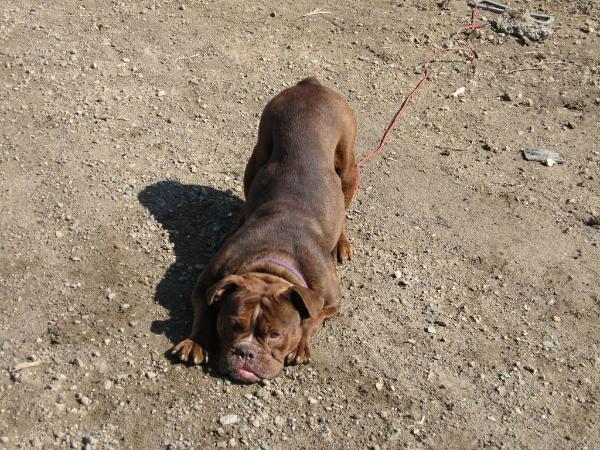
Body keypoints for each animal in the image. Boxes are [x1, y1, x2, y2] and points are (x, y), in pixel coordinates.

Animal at [169, 78, 356, 384]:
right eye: (233, 325)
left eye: (275, 335)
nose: (246, 352)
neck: (273, 262)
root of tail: (312, 85)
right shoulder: (206, 284)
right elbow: (204, 314)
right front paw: (197, 341)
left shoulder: (331, 301)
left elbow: (312, 319)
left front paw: (300, 344)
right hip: (258, 157)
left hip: (348, 167)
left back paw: (341, 243)